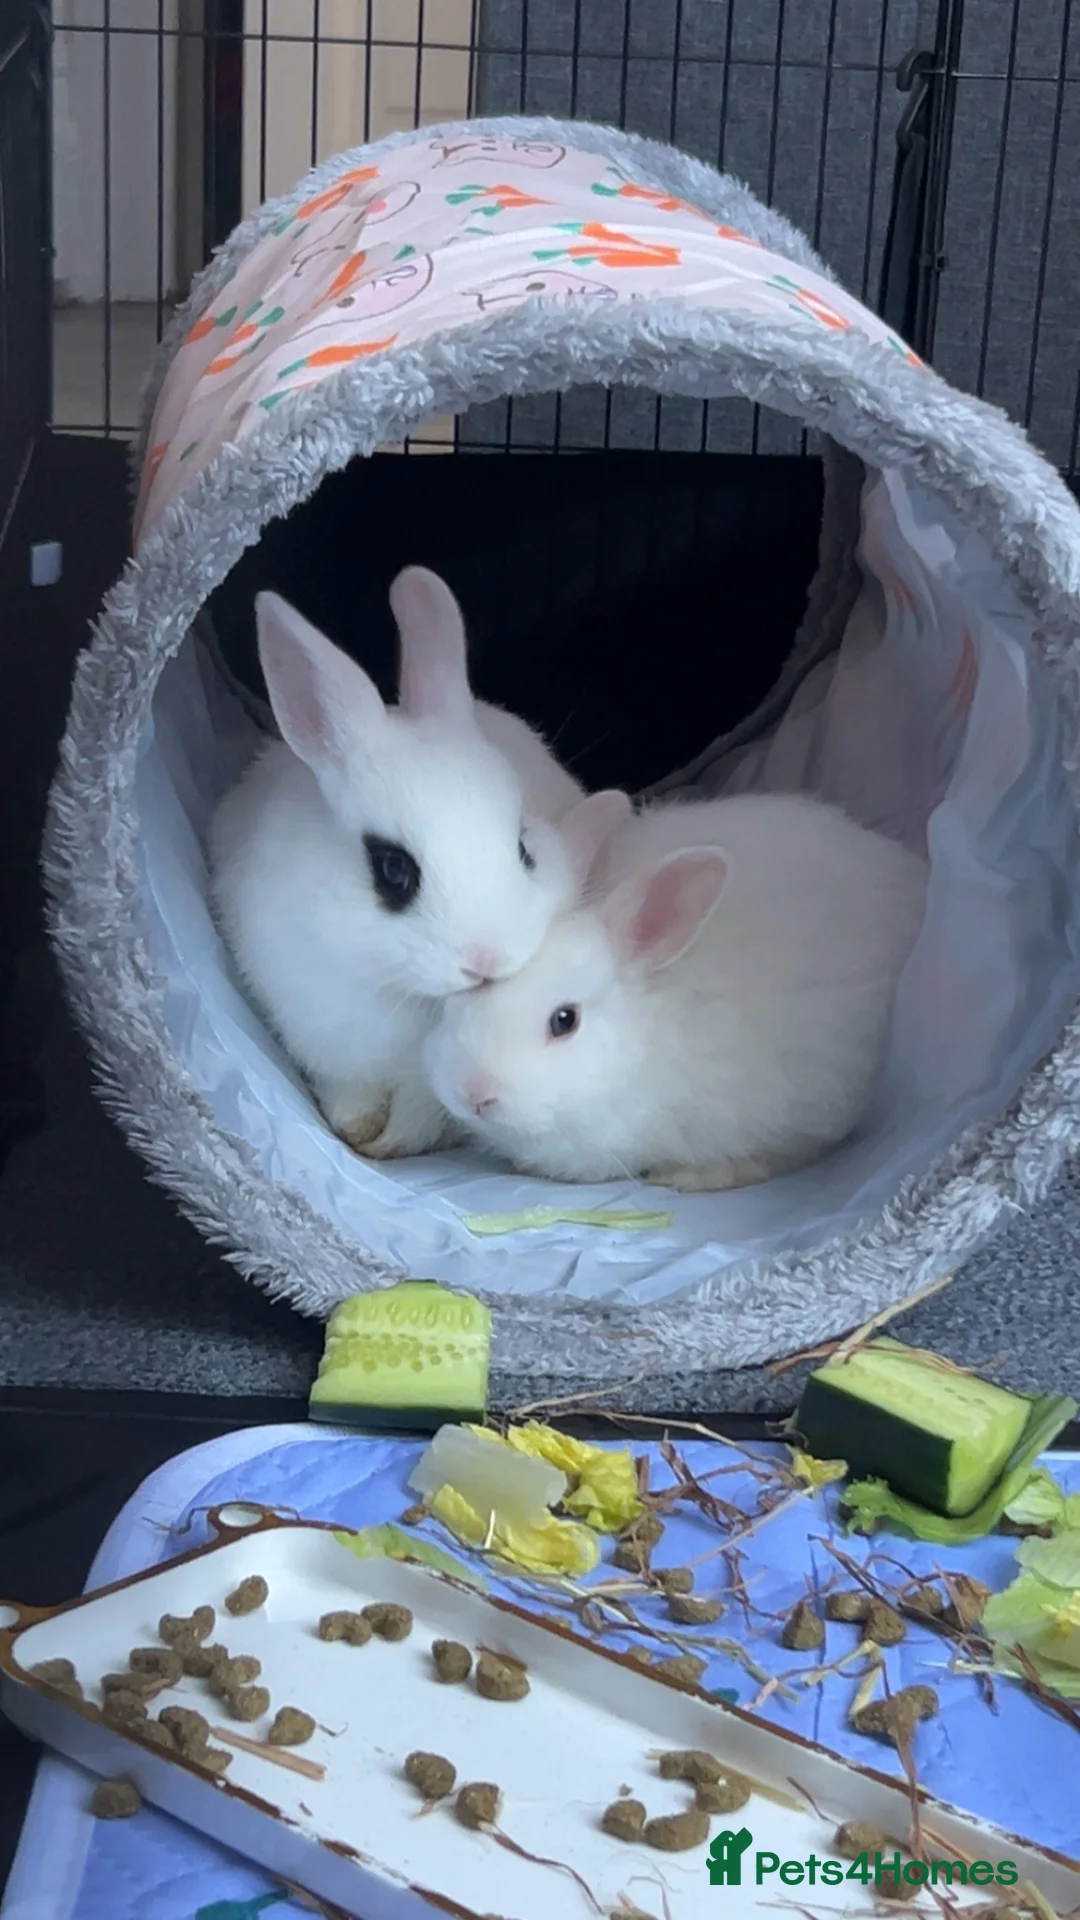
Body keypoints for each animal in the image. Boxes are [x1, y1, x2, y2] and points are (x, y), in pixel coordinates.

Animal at [209, 566, 584, 1160]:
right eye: (393, 869)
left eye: (524, 848)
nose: (487, 959)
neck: (401, 988)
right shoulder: (323, 1043)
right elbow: (349, 1095)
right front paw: (357, 1132)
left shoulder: (428, 1091)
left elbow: (415, 1120)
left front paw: (381, 1147)